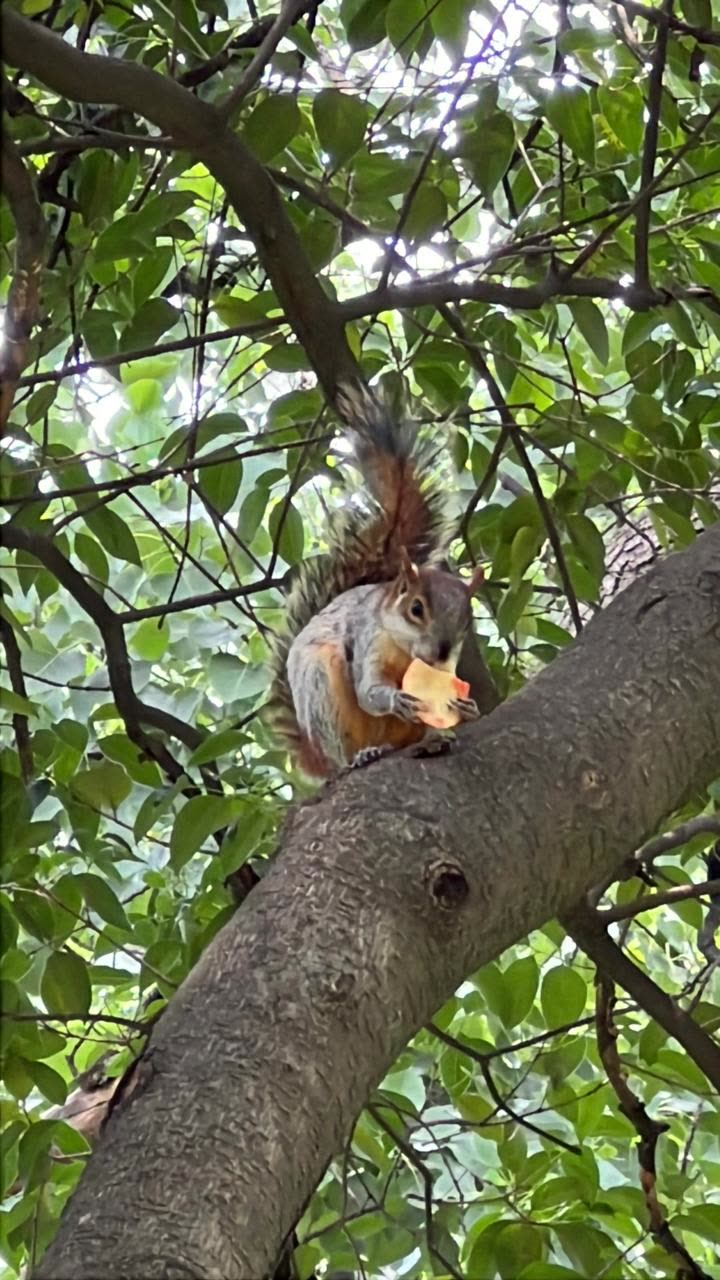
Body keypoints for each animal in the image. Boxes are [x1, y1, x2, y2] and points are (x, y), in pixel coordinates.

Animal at [267, 380, 485, 779]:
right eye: (416, 609)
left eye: (467, 620)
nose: (439, 652)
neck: (406, 653)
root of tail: (316, 758)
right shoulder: (368, 640)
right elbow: (368, 690)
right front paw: (393, 698)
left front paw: (468, 708)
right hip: (321, 689)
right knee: (344, 747)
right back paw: (363, 754)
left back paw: (432, 739)